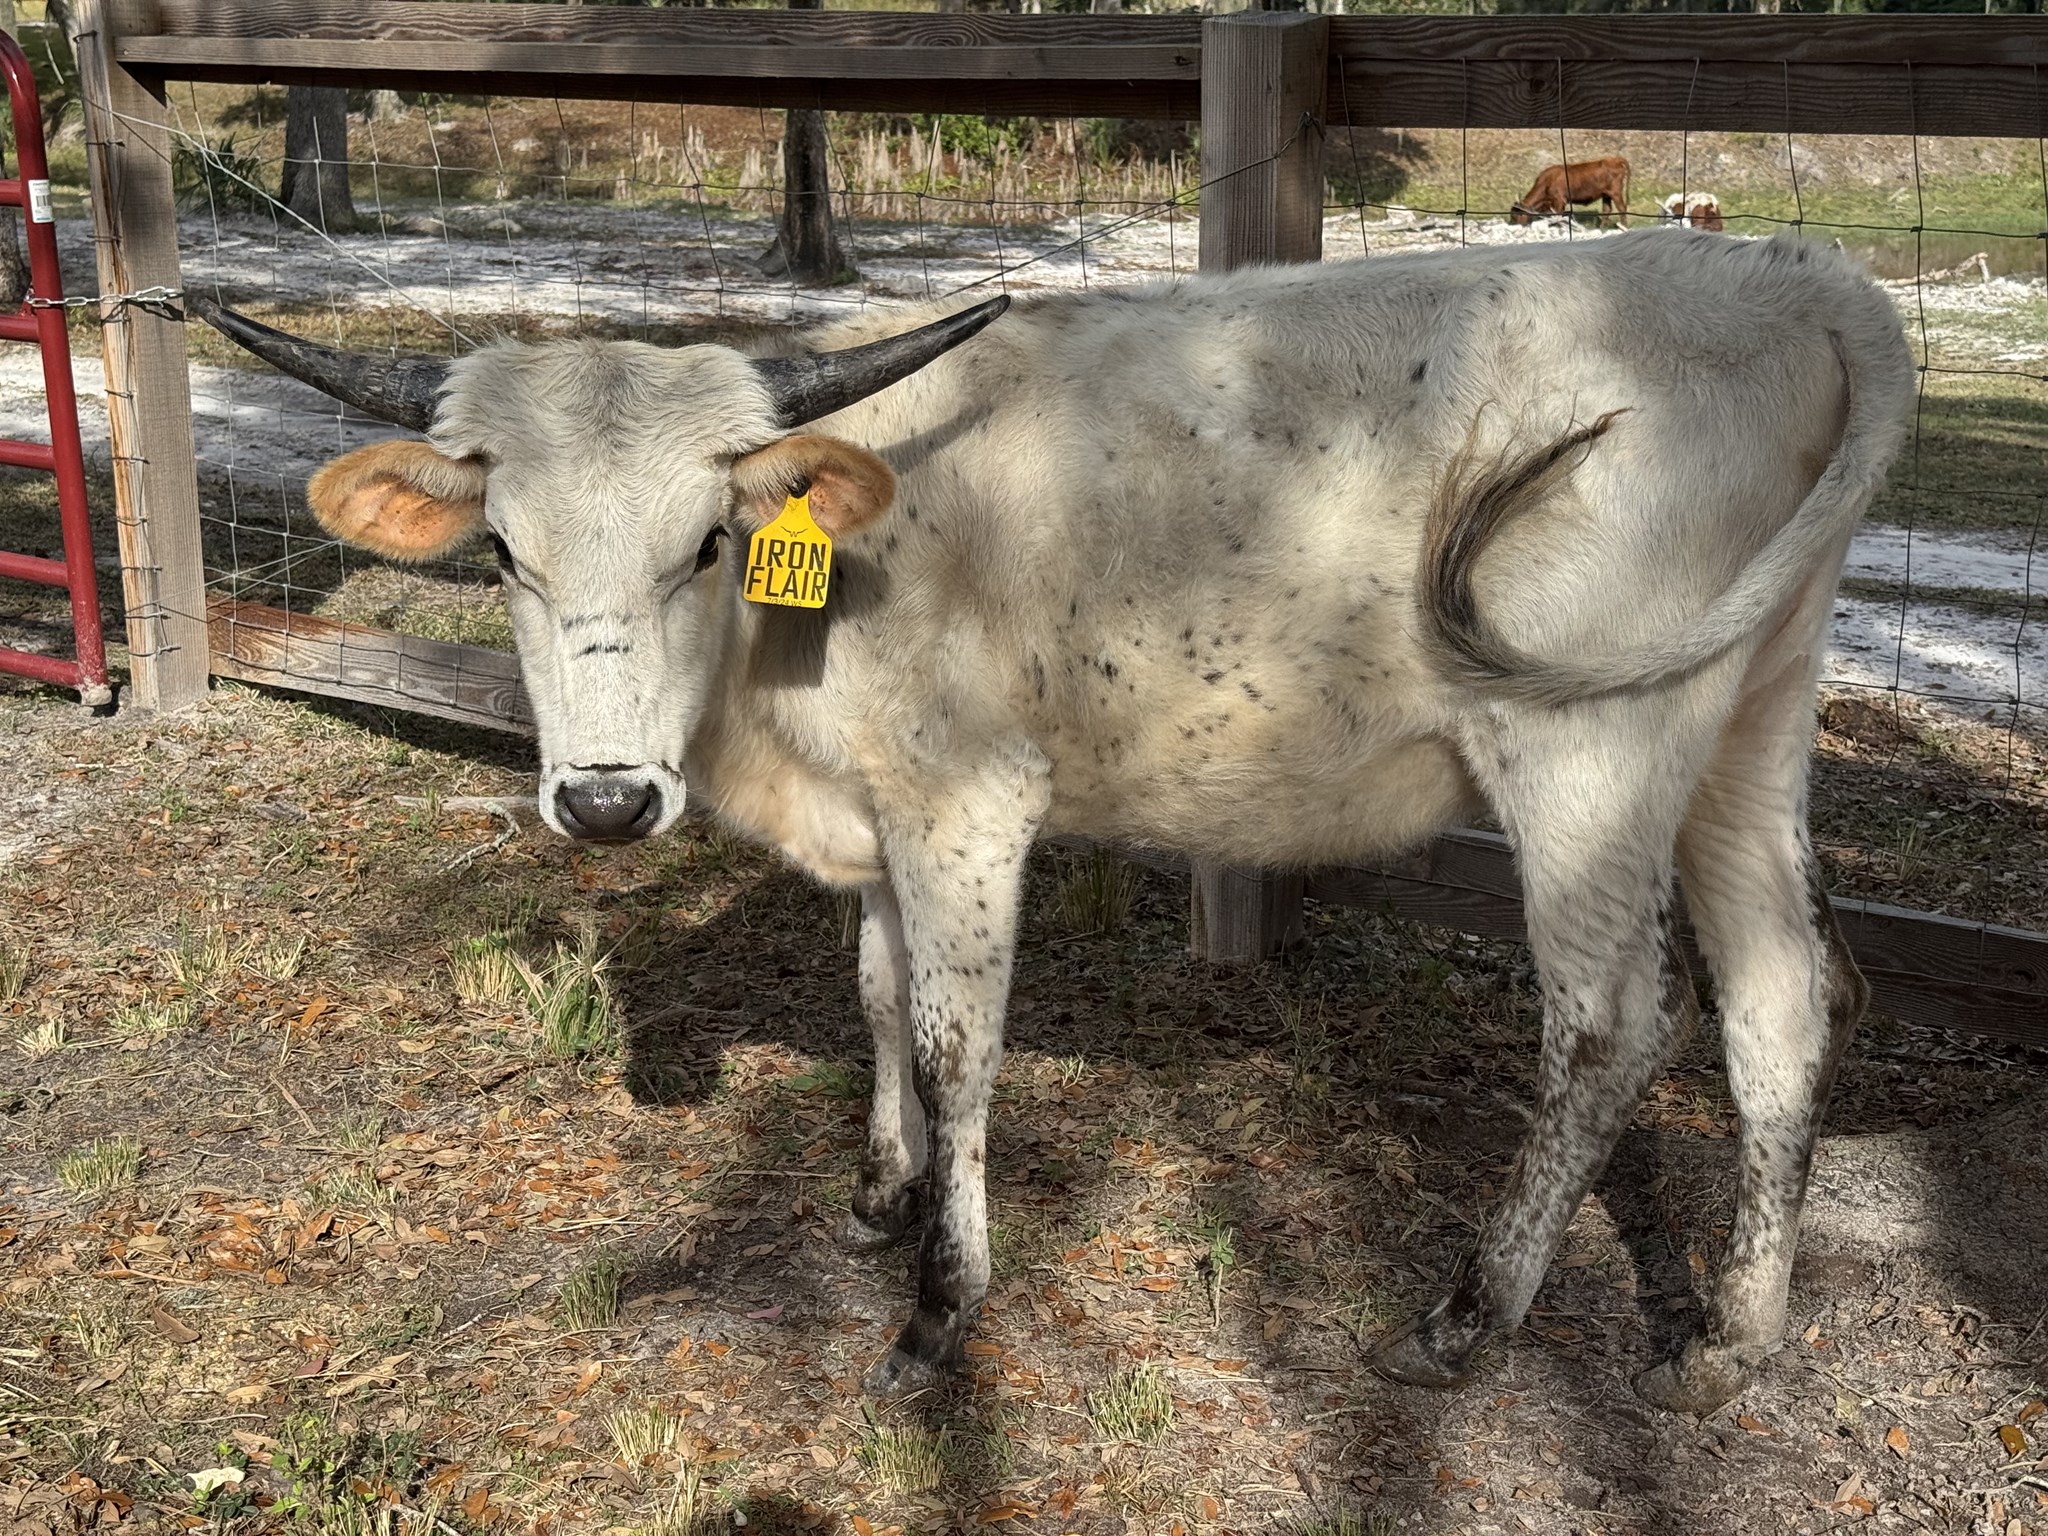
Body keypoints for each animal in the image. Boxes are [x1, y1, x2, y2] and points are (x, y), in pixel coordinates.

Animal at [193, 226, 1913, 1415]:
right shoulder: (878, 816)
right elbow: (875, 992)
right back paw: (1737, 1337)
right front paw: (879, 1195)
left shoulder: (966, 801)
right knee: (1781, 994)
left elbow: (957, 1040)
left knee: (1614, 1024)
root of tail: (1795, 271)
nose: (607, 798)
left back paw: (1470, 1315)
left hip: (1585, 750)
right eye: (501, 553)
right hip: (1746, 724)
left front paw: (941, 1304)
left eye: (706, 541)